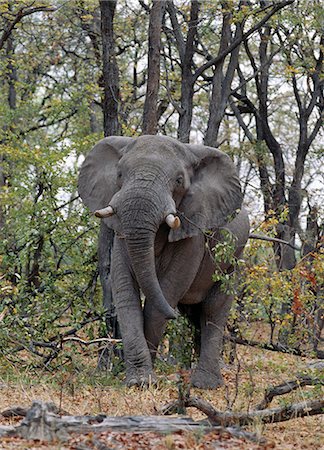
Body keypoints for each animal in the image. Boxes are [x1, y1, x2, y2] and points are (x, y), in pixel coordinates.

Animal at [78, 134, 248, 390]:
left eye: (179, 180)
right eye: (119, 174)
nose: (173, 316)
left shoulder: (193, 228)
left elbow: (166, 292)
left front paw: (145, 380)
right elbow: (125, 291)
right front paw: (137, 381)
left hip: (233, 261)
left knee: (213, 309)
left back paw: (205, 384)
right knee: (195, 316)